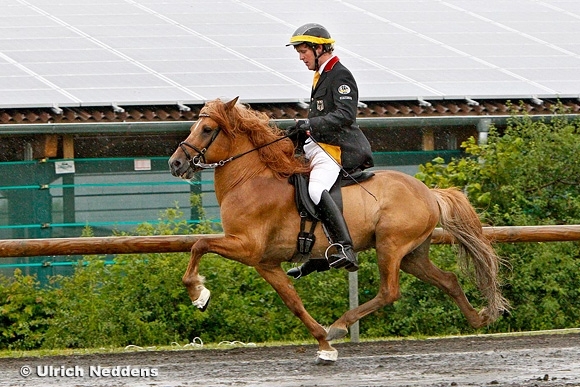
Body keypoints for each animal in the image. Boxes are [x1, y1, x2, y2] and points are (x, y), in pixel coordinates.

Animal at [168, 96, 508, 364]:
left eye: (206, 130)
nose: (175, 163)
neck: (251, 179)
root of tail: (429, 192)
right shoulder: (265, 262)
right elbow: (293, 303)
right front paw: (323, 344)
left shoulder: (246, 246)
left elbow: (199, 244)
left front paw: (199, 294)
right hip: (413, 255)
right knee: (448, 280)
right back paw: (479, 318)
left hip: (390, 247)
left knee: (389, 291)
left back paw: (340, 325)